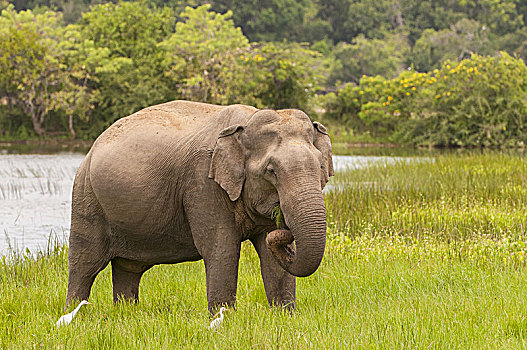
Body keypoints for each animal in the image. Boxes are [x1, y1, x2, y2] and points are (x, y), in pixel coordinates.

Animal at [67, 99, 334, 312]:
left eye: (320, 166)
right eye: (271, 171)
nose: (284, 231)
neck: (246, 121)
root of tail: (93, 145)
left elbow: (269, 257)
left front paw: (284, 315)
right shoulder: (202, 183)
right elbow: (221, 249)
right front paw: (223, 318)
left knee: (128, 268)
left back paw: (125, 313)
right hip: (86, 197)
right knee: (85, 264)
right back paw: (76, 314)